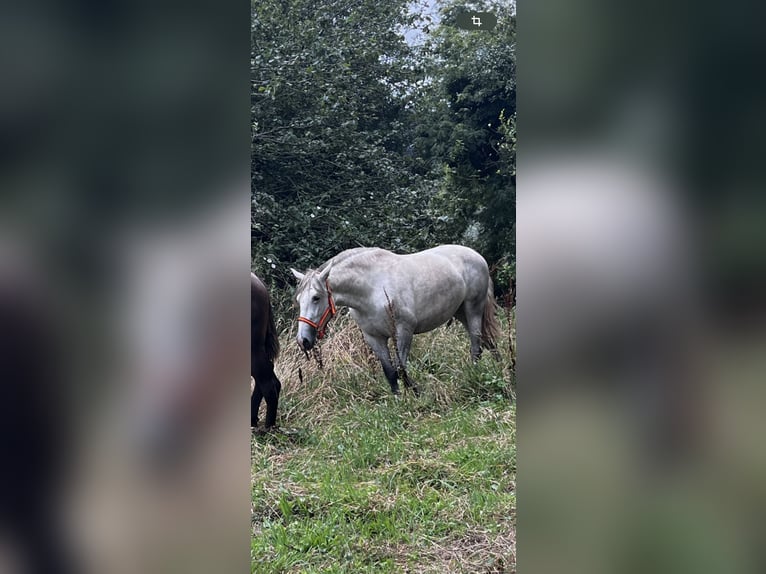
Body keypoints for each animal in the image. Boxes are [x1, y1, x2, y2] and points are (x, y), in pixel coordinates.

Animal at [292, 245, 500, 394]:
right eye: (298, 299)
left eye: (316, 297)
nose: (303, 340)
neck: (371, 288)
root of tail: (477, 256)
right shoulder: (374, 338)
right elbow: (390, 373)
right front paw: (398, 401)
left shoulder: (403, 331)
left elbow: (401, 368)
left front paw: (416, 394)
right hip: (461, 313)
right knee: (487, 342)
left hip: (473, 309)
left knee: (476, 345)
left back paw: (474, 374)